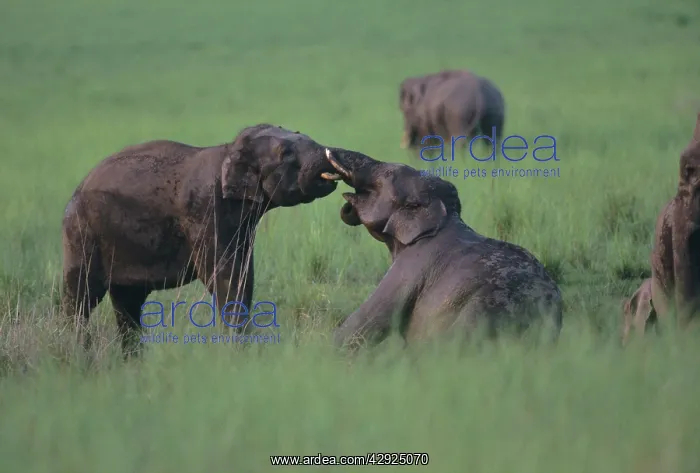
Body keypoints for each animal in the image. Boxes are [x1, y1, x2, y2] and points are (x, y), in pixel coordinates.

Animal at [61, 123, 350, 357]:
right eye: (285, 153)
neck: (229, 151)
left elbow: (243, 273)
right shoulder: (206, 211)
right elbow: (223, 274)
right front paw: (239, 353)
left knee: (128, 302)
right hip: (81, 233)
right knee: (82, 296)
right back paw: (75, 356)